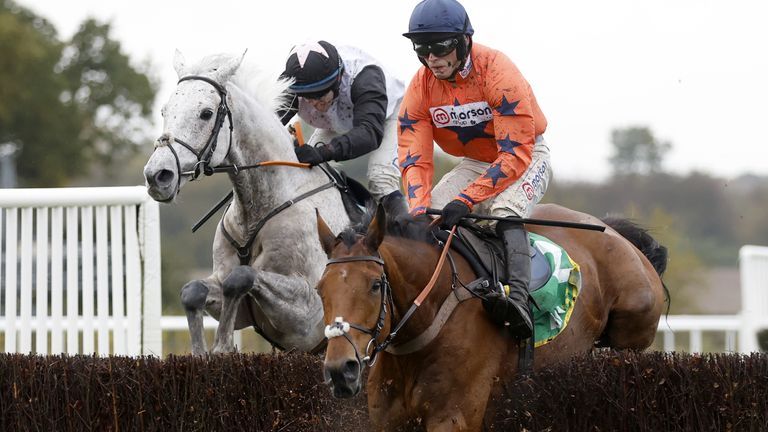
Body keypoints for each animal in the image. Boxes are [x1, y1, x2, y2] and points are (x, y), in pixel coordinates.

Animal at [312, 197, 664, 430]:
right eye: (320, 288)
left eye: (375, 285)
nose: (340, 370)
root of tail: (614, 232)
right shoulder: (388, 420)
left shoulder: (453, 417)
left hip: (635, 316)